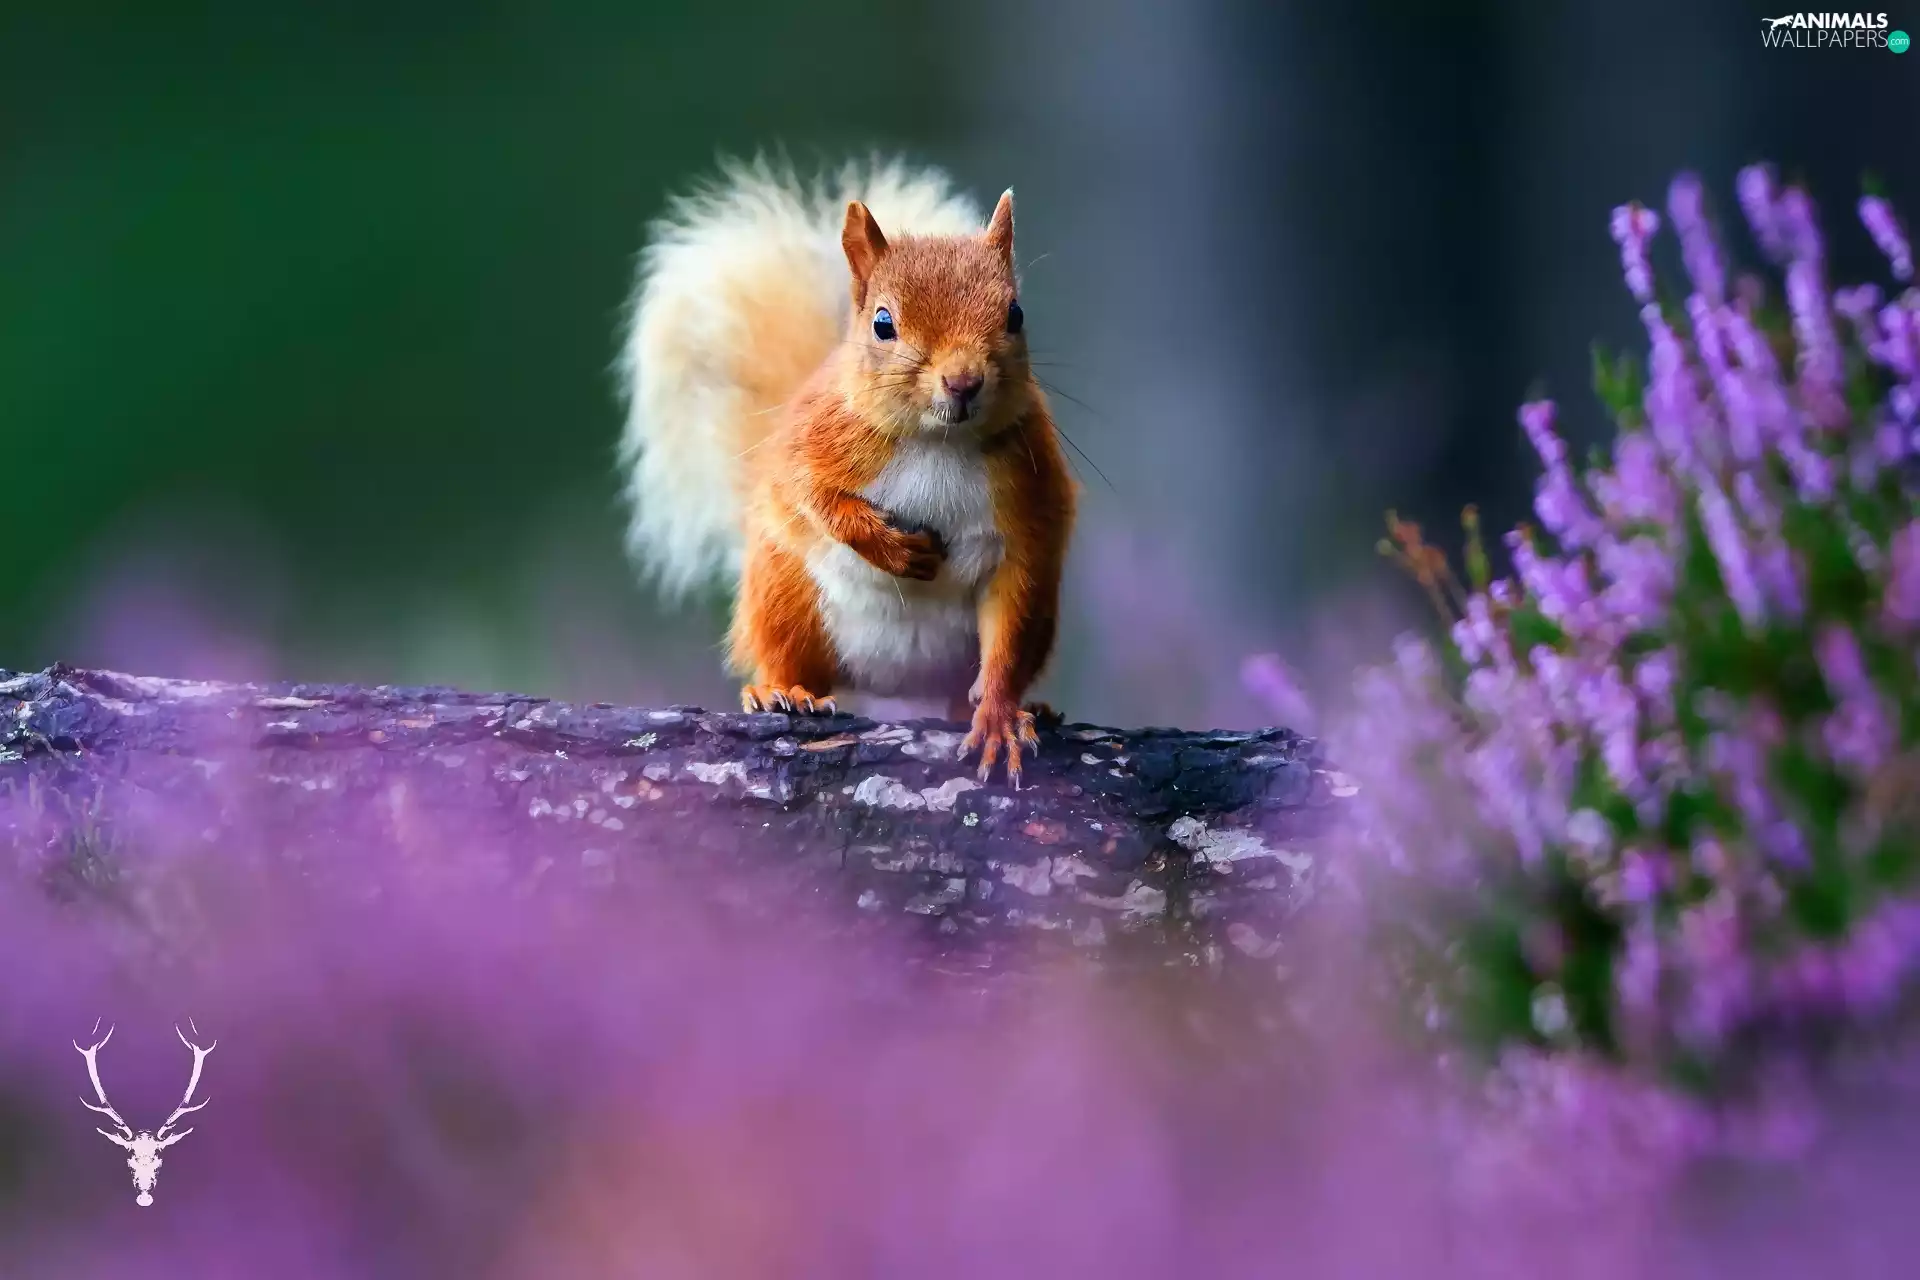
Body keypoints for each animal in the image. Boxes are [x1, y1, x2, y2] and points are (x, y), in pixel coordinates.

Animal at [616, 157, 1076, 785]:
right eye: (883, 323)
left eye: (1016, 314)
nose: (962, 382)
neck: (938, 442)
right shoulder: (812, 443)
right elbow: (813, 495)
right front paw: (892, 548)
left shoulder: (1026, 510)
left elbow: (1008, 630)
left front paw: (1002, 717)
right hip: (784, 595)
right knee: (786, 656)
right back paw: (782, 692)